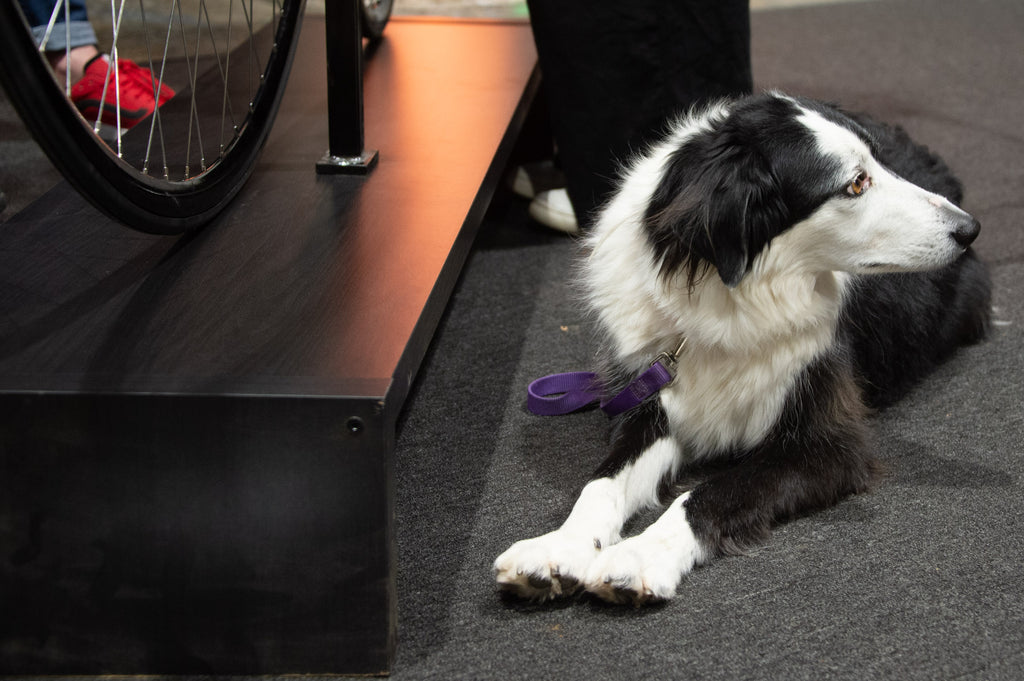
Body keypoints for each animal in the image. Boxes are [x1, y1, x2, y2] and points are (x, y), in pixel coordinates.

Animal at [493, 91, 991, 606]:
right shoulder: (651, 396)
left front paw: (639, 556)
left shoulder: (828, 442)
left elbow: (707, 492)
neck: (730, 301)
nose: (969, 228)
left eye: (878, 164)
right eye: (856, 184)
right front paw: (558, 548)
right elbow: (602, 482)